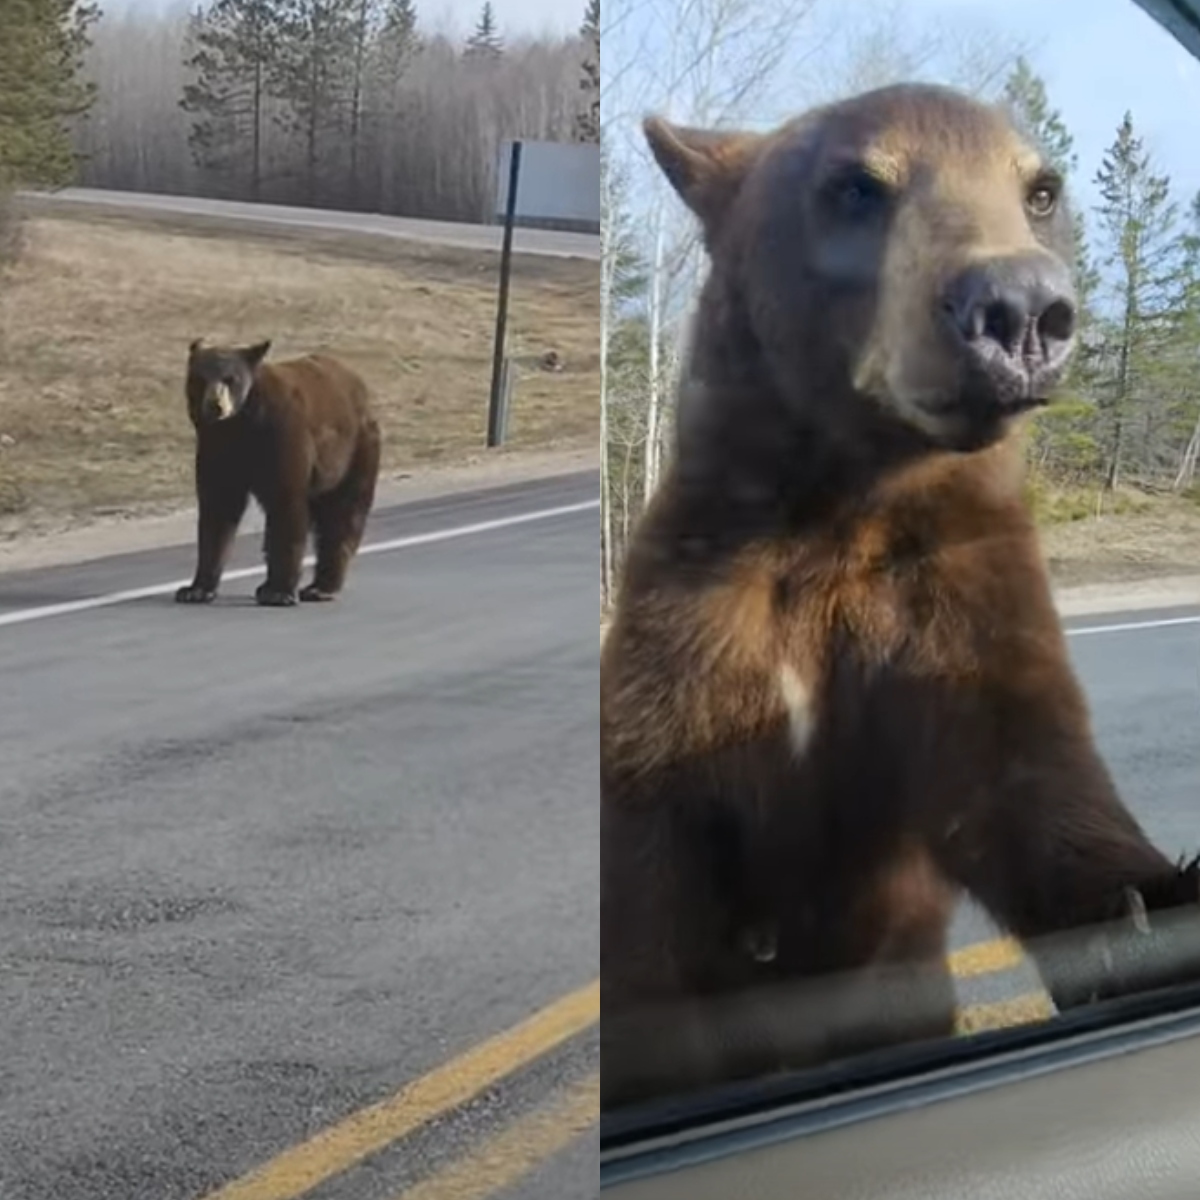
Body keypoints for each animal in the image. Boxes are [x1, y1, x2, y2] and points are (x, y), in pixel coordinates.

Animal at [604, 82, 1200, 1113]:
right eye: (856, 184)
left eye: (1041, 188)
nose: (1020, 306)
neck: (842, 508)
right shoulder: (693, 616)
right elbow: (653, 868)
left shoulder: (951, 592)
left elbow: (1025, 774)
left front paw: (1139, 909)